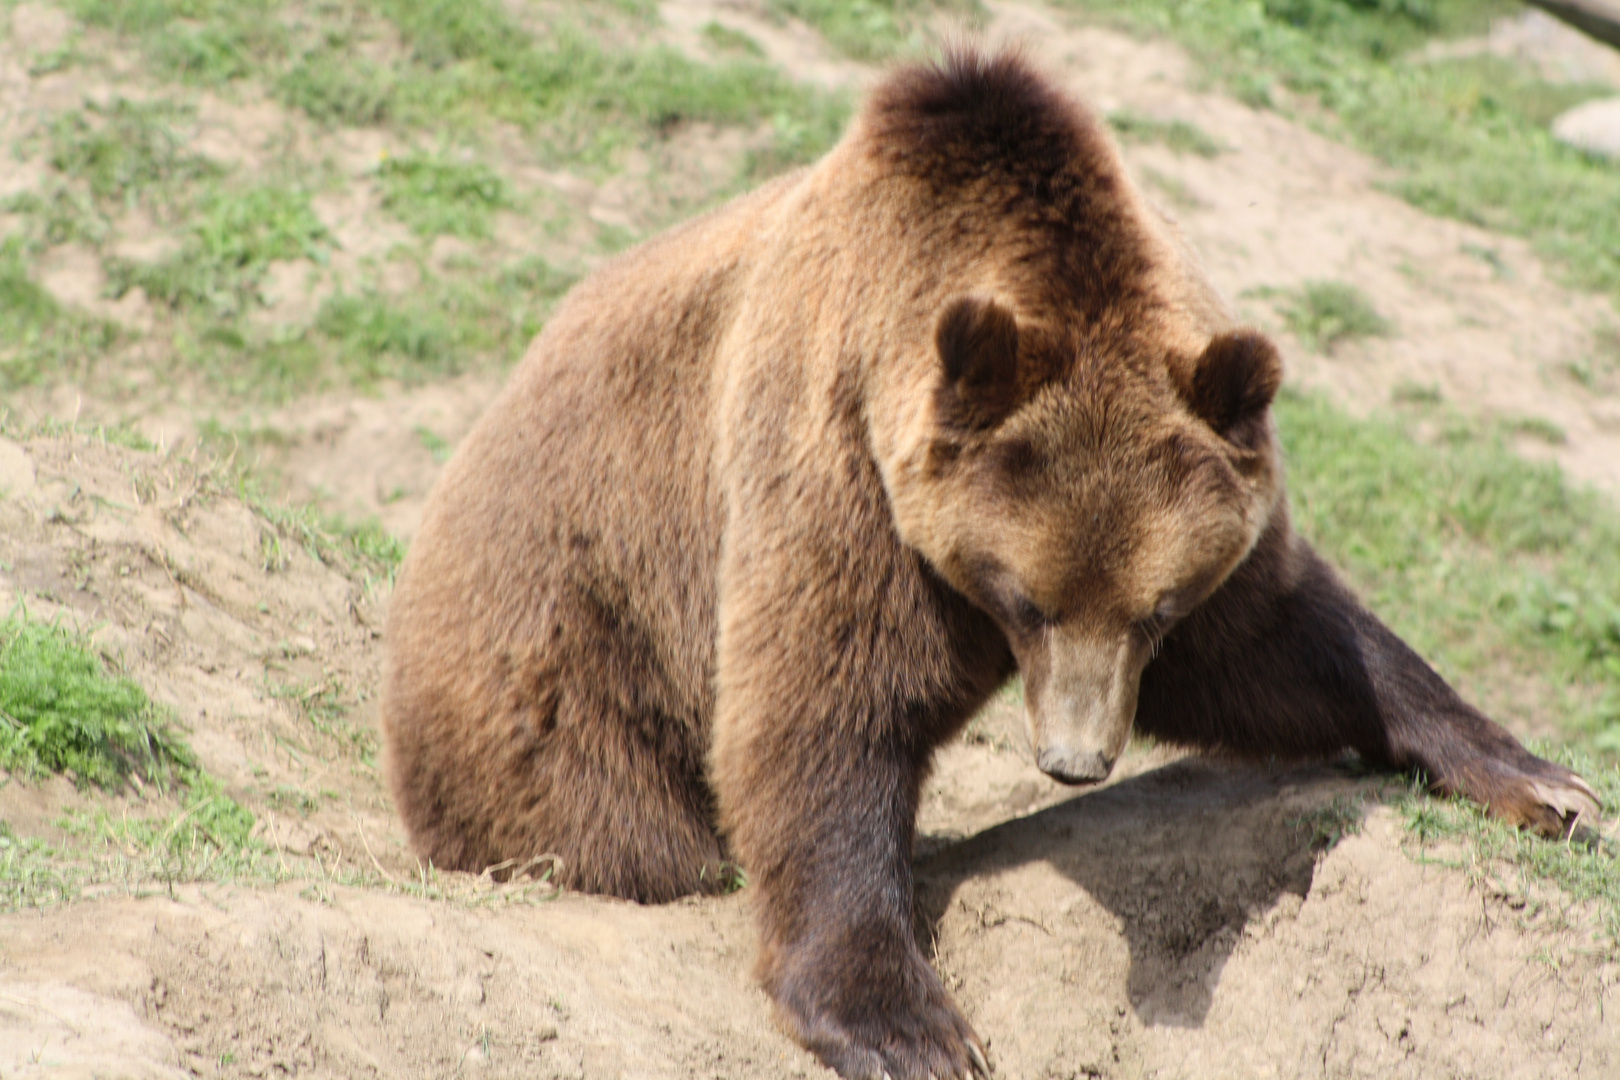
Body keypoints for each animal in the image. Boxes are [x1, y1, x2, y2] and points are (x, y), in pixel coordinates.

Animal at [385, 46, 1600, 1075]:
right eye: (1026, 596)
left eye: (1159, 608)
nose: (1074, 760)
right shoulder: (838, 461)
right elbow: (824, 710)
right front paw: (907, 1023)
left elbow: (1283, 642)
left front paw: (1545, 780)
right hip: (568, 643)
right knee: (613, 818)